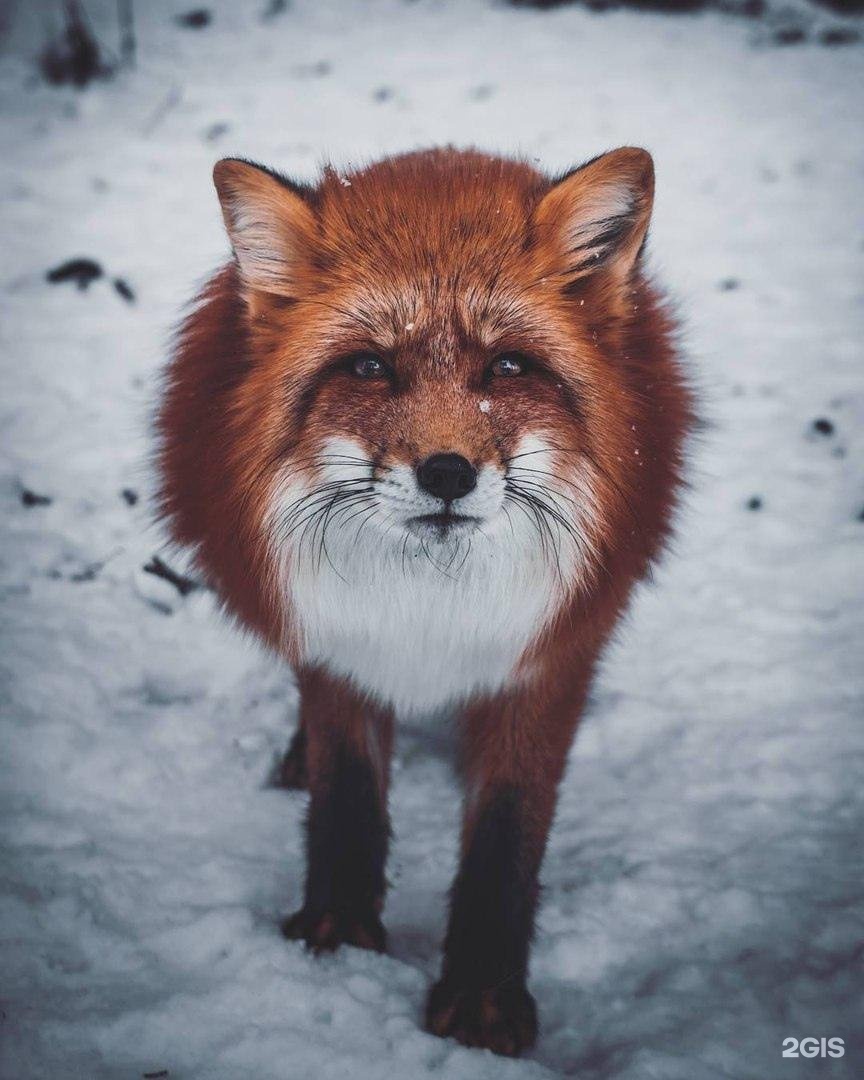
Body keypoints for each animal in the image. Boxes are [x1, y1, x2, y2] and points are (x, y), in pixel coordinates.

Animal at [156, 147, 695, 1058]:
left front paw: (481, 1000)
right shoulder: (342, 649)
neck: (430, 608)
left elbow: (507, 837)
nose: (447, 473)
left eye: (506, 367)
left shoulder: (542, 665)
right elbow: (347, 797)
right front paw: (336, 938)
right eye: (372, 367)